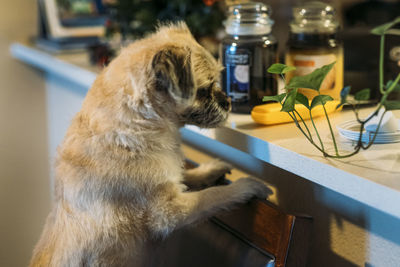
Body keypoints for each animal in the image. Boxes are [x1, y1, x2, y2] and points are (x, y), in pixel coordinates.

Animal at [29, 23, 270, 267]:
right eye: (204, 91)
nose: (228, 101)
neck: (139, 123)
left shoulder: (167, 176)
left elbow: (185, 174)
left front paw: (211, 169)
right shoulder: (170, 210)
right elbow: (213, 195)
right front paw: (245, 187)